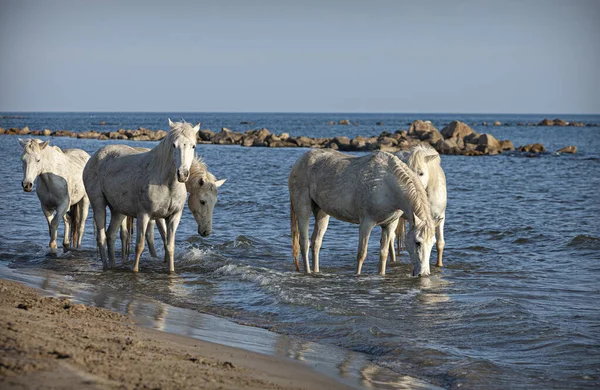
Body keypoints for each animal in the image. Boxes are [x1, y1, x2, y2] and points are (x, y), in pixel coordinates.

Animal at [83, 118, 199, 272]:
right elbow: (140, 245)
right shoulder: (144, 215)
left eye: (193, 146)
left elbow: (169, 247)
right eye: (174, 145)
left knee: (110, 235)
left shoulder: (174, 217)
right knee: (101, 237)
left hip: (118, 210)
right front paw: (135, 270)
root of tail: (94, 157)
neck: (166, 183)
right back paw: (106, 267)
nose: (183, 174)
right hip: (98, 204)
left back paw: (113, 265)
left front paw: (171, 271)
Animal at [288, 149, 434, 278]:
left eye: (432, 243)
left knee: (316, 242)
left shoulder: (389, 225)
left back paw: (316, 271)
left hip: (321, 212)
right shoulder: (366, 223)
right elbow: (361, 254)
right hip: (303, 208)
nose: (423, 274)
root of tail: (299, 161)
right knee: (304, 243)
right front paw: (357, 275)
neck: (387, 184)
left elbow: (383, 254)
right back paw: (308, 272)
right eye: (418, 242)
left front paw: (381, 275)